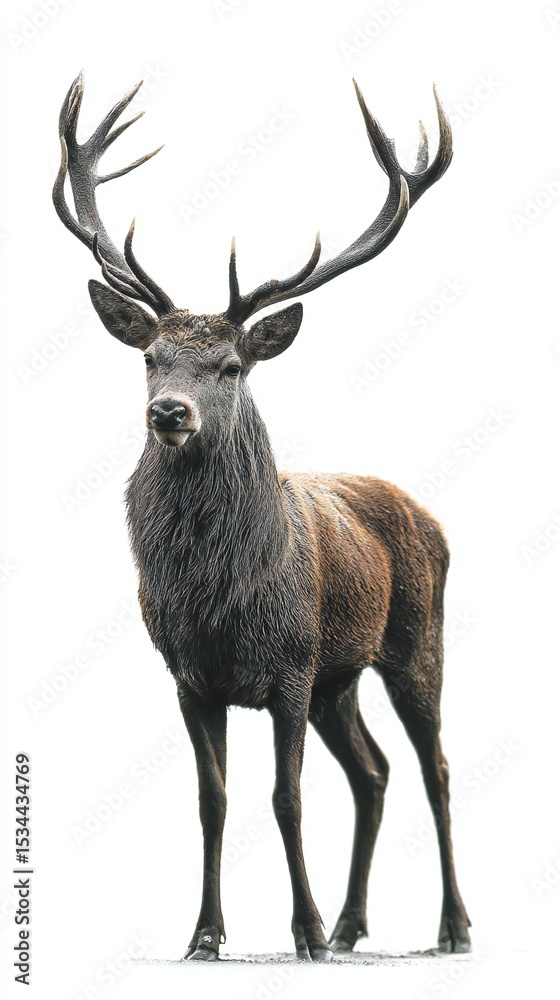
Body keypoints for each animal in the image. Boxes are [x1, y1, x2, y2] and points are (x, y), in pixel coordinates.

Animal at [53, 73, 471, 963]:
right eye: (150, 357)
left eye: (231, 365)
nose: (169, 413)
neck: (218, 598)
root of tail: (427, 514)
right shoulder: (188, 676)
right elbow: (212, 801)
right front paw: (206, 935)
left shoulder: (289, 665)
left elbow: (287, 798)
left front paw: (302, 932)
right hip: (340, 677)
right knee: (374, 772)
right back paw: (353, 925)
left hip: (412, 640)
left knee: (435, 767)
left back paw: (449, 927)